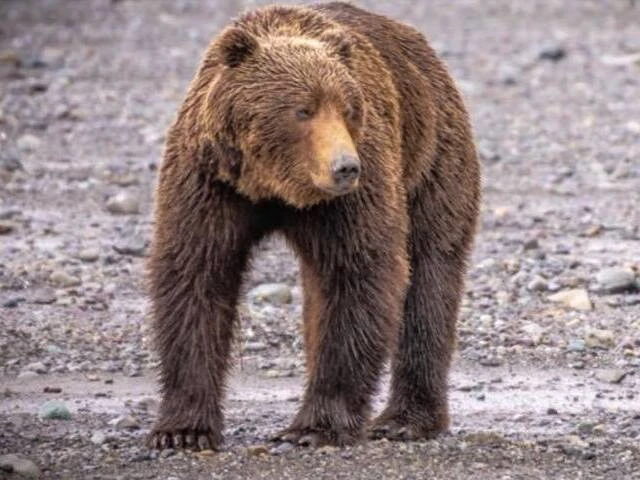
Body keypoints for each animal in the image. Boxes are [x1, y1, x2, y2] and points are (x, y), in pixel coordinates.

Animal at [147, 2, 480, 451]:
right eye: (302, 109)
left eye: (347, 108)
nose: (345, 167)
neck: (273, 186)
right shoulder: (209, 181)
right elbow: (195, 276)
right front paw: (182, 431)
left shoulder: (354, 193)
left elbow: (358, 273)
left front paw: (315, 426)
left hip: (431, 159)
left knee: (430, 273)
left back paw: (405, 420)